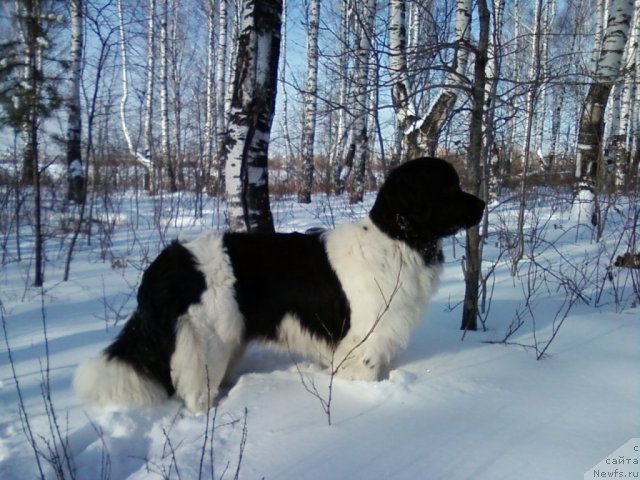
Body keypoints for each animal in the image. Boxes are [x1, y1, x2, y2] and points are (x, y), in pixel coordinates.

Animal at [74, 157, 484, 412]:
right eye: (449, 187)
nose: (482, 204)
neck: (397, 239)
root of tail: (167, 263)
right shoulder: (361, 344)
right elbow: (365, 375)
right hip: (207, 344)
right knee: (195, 396)